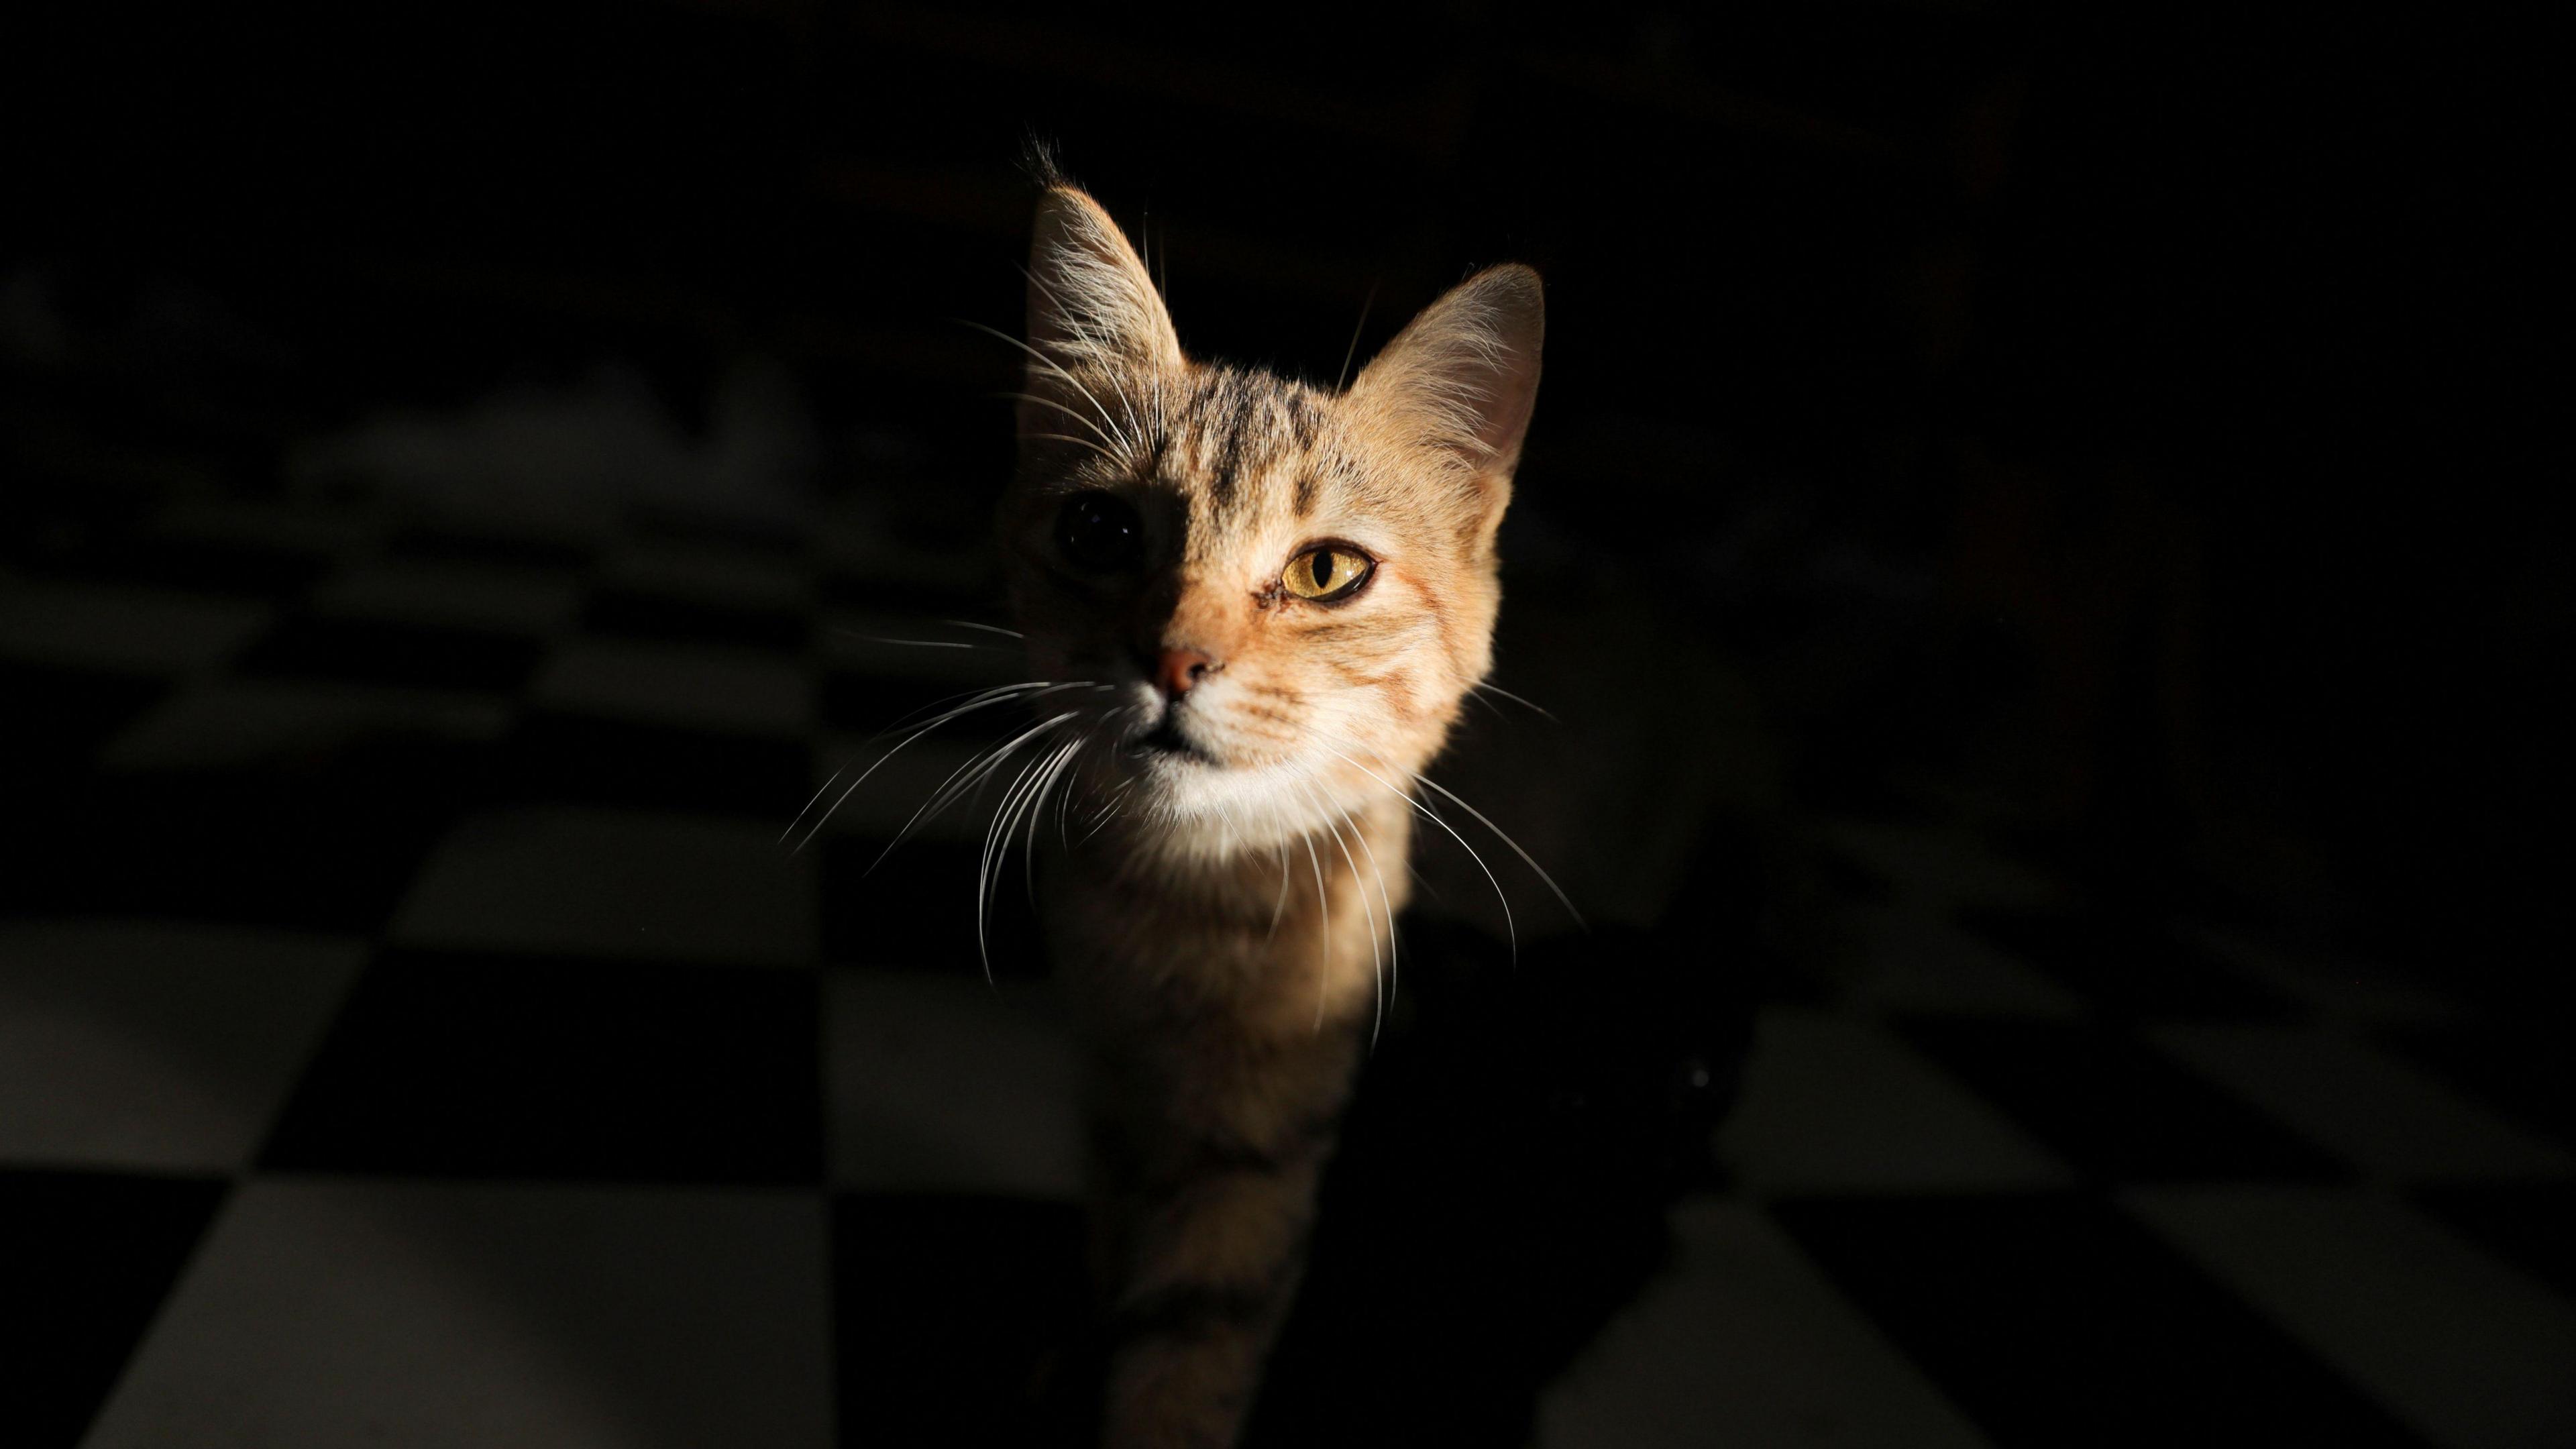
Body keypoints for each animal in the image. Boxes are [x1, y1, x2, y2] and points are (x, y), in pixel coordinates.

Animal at [994, 168, 1535, 1444]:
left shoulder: (1266, 1142)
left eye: (1326, 571)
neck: (1194, 900)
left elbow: (1197, 1341)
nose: (1175, 660)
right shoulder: (1114, 1094)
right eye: (1101, 530)